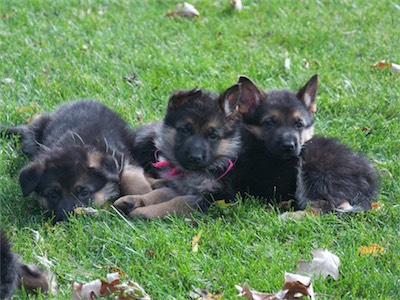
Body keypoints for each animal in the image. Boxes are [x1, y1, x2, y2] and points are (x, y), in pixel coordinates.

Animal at [1, 101, 152, 223]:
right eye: (52, 195)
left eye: (84, 192)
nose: (66, 220)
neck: (76, 143)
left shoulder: (122, 158)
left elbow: (131, 176)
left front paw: (143, 195)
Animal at [114, 85, 242, 219]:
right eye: (185, 129)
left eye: (213, 135)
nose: (195, 157)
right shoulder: (181, 187)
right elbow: (161, 193)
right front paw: (134, 200)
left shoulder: (217, 197)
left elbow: (178, 202)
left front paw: (143, 212)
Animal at [233, 74, 376, 211]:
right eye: (269, 123)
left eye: (299, 124)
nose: (288, 146)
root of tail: (368, 177)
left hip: (314, 171)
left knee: (323, 206)